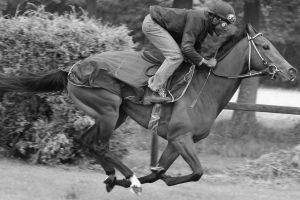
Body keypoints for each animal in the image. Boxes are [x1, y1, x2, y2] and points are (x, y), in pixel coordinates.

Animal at [0, 23, 296, 194]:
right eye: (266, 46)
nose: (291, 71)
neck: (205, 90)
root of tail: (72, 69)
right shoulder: (181, 137)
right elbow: (196, 172)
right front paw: (141, 179)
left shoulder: (176, 141)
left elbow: (165, 173)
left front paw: (152, 176)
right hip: (108, 110)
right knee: (101, 145)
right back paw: (129, 178)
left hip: (114, 114)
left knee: (87, 141)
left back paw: (112, 177)